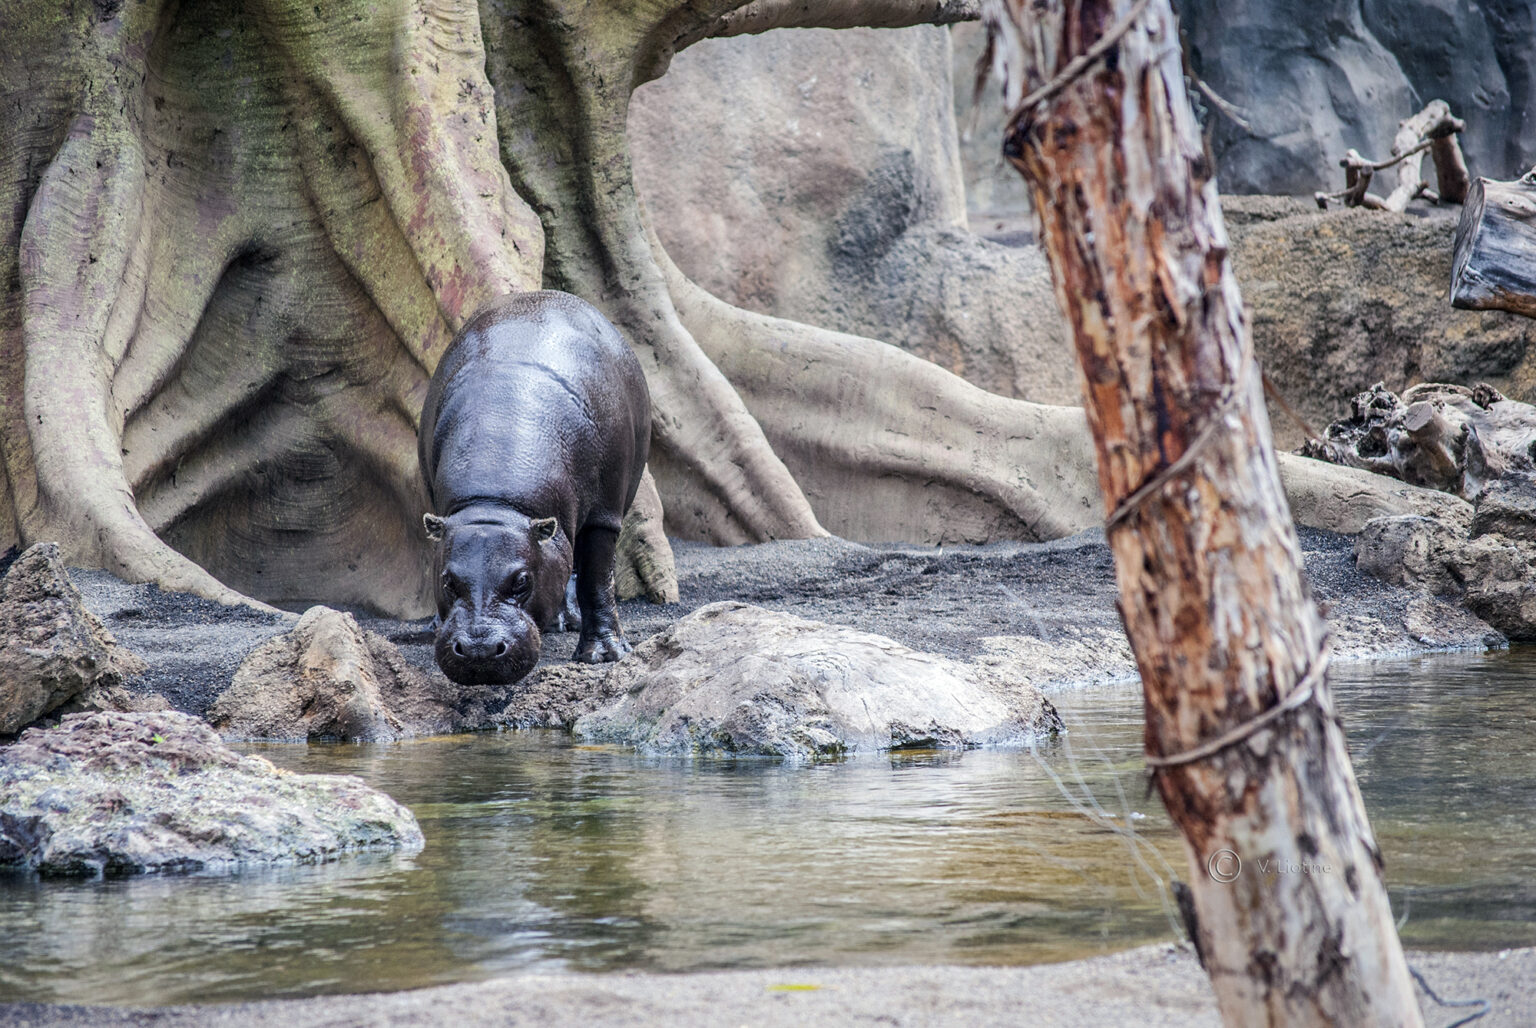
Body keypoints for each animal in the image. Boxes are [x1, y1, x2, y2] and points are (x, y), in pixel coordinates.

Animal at [418, 291, 651, 685]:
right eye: (448, 580)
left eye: (522, 580)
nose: (479, 651)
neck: (495, 504)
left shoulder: (603, 515)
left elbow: (596, 579)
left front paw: (604, 655)